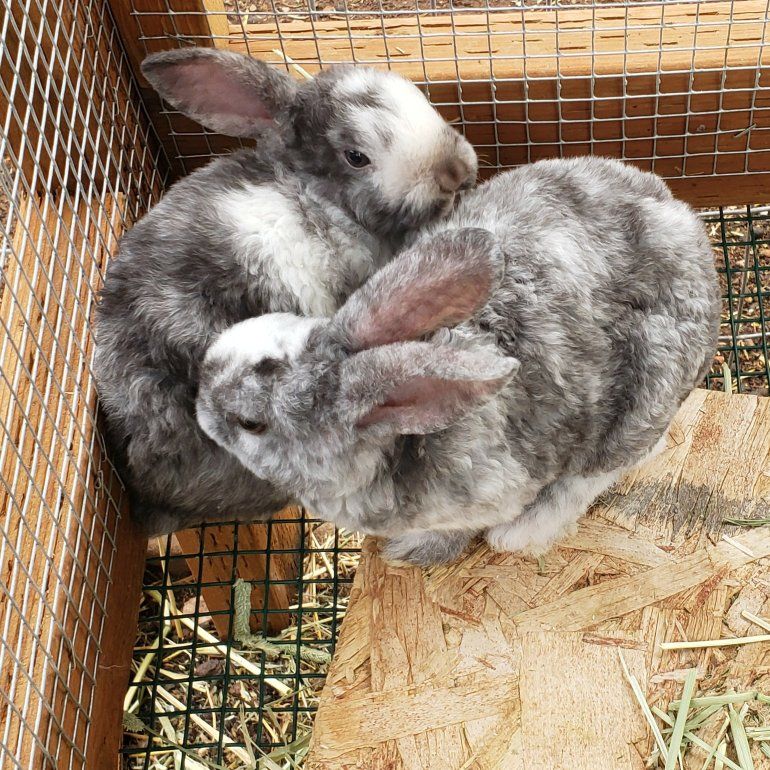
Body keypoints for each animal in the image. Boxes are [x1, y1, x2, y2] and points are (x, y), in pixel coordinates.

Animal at [195, 156, 721, 566]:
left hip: (642, 404)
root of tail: (690, 228)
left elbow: (459, 529)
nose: (201, 392)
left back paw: (520, 536)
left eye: (251, 423)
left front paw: (414, 552)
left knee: (598, 472)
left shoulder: (492, 495)